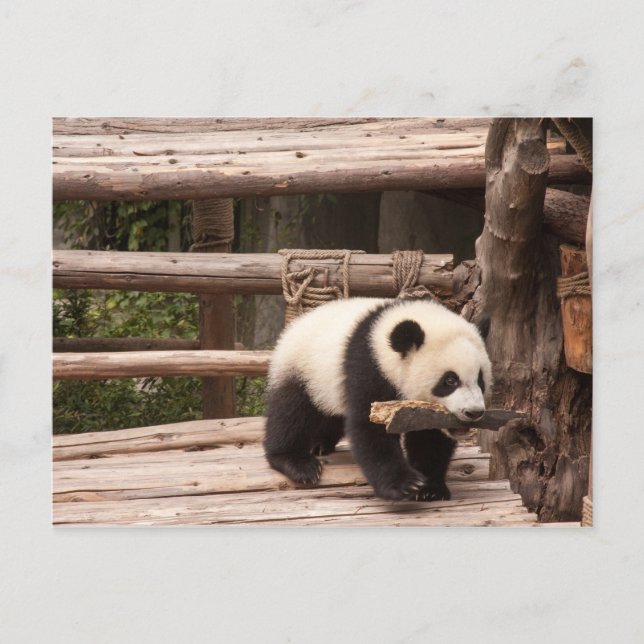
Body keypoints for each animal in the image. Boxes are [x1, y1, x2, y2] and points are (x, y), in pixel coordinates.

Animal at [264, 297, 492, 502]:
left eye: (480, 379)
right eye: (450, 380)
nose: (473, 412)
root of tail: (297, 323)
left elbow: (430, 437)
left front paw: (430, 488)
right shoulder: (369, 367)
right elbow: (370, 428)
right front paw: (404, 485)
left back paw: (320, 444)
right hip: (300, 368)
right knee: (291, 412)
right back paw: (298, 463)